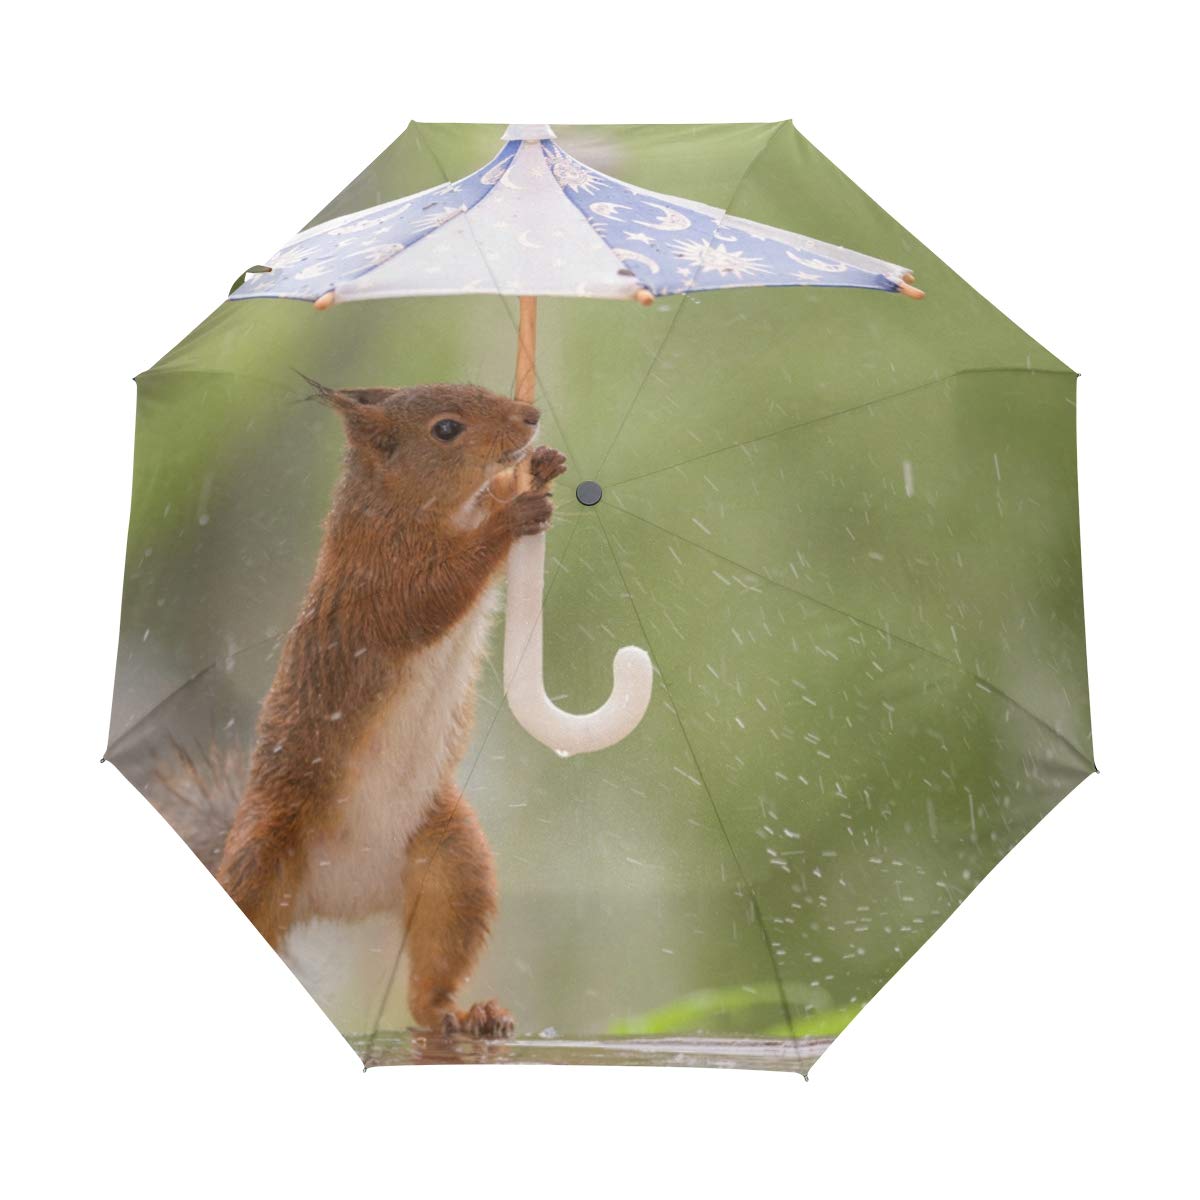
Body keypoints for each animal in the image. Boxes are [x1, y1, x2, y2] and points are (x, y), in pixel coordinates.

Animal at [207, 377, 566, 1039]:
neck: (410, 507)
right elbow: (438, 592)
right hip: (261, 856)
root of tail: (342, 898)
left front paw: (539, 468)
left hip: (453, 857)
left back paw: (464, 1014)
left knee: (433, 975)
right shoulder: (379, 586)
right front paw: (513, 514)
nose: (529, 416)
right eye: (446, 428)